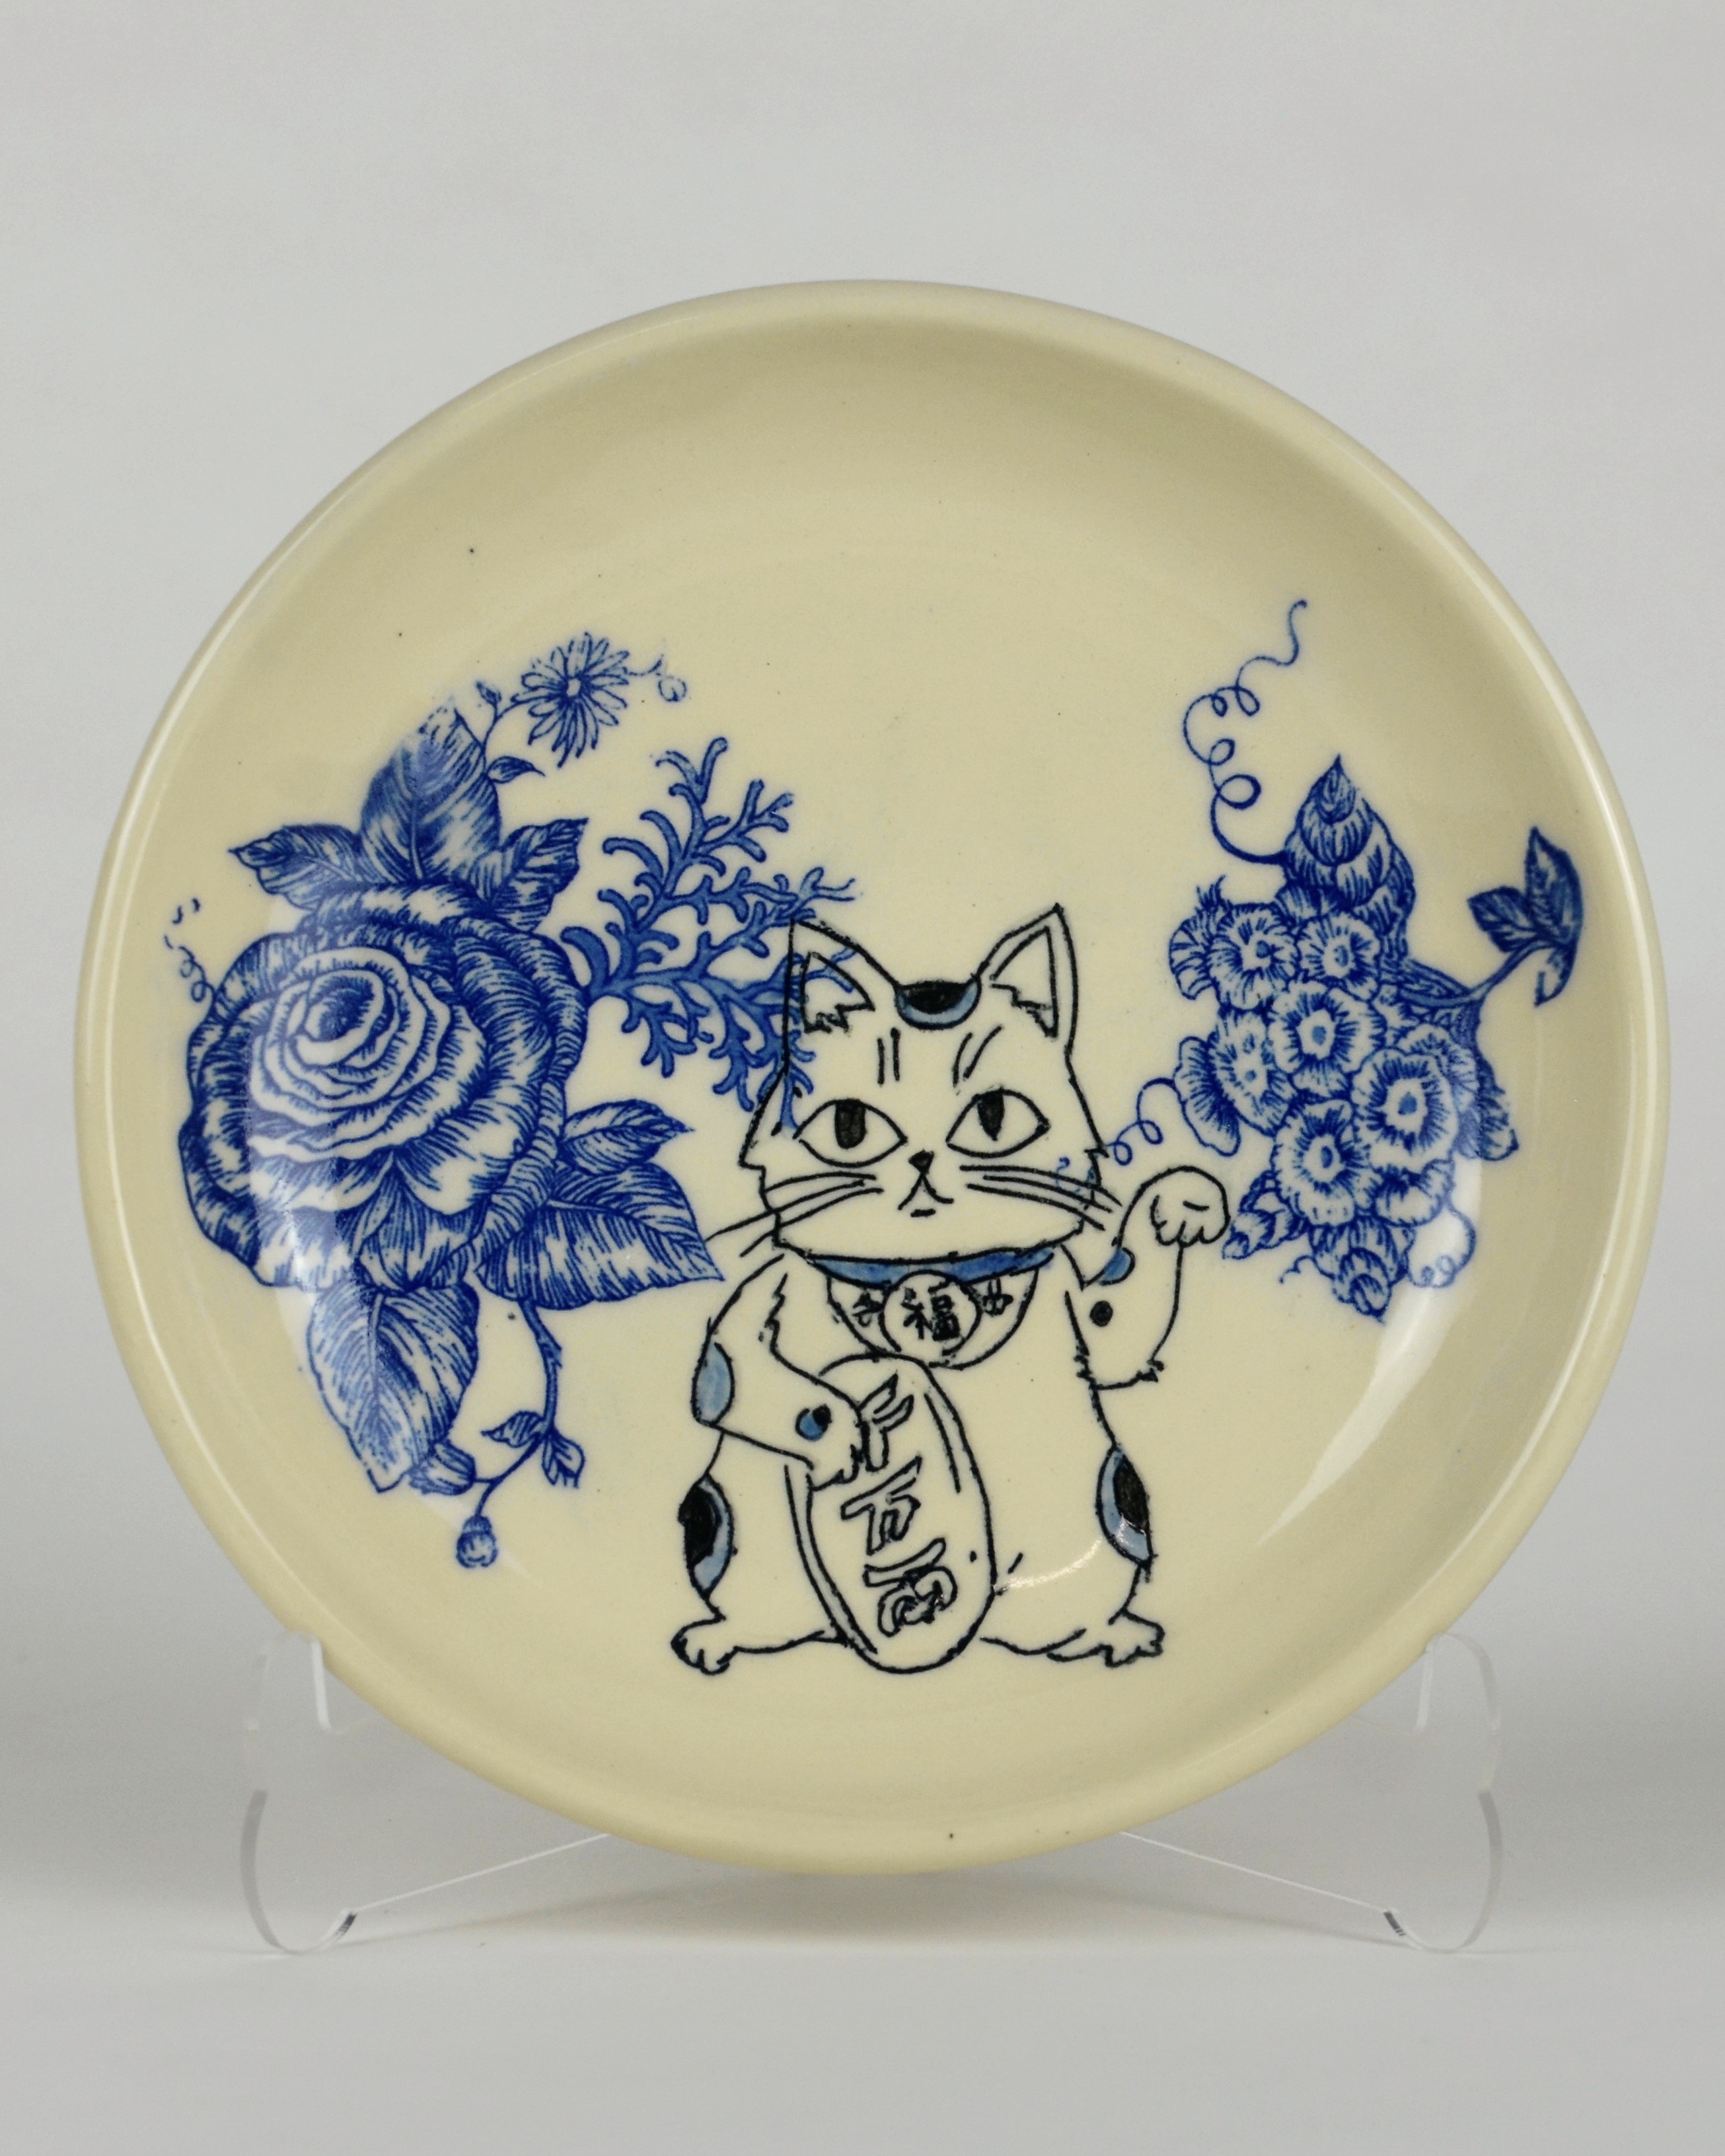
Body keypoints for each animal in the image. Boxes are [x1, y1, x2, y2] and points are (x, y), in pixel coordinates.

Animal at [672, 908, 1229, 1675]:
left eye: (994, 1116)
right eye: (850, 1127)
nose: (922, 1159)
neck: (929, 1266)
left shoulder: (1073, 1298)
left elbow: (1118, 1331)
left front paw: (1181, 1202)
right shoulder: (761, 1306)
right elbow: (738, 1380)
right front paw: (843, 1437)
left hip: (1110, 1512)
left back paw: (1108, 1634)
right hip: (725, 1525)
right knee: (759, 1603)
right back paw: (722, 1637)